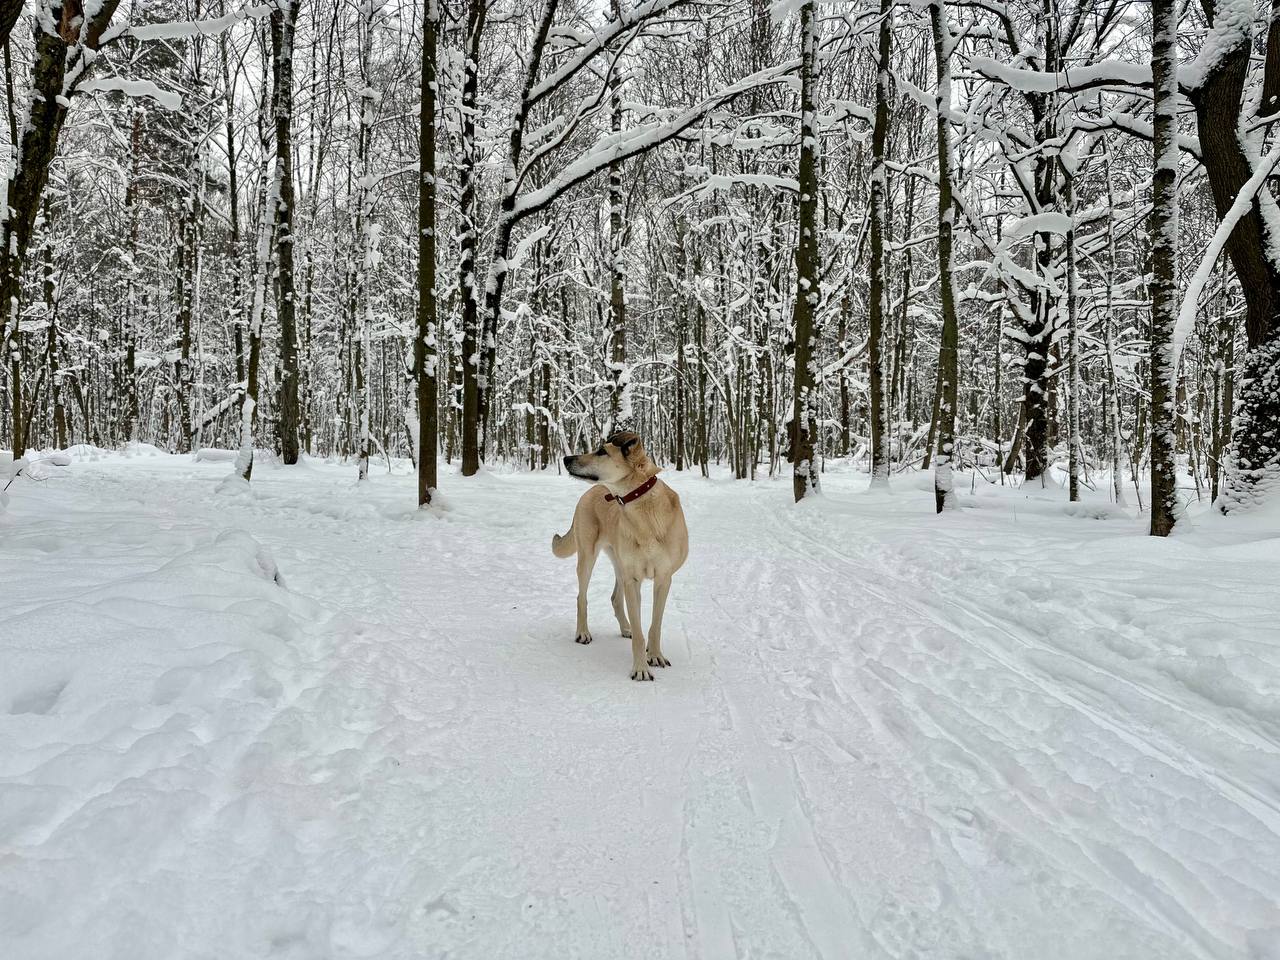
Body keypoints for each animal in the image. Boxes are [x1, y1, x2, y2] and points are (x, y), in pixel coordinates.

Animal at [552, 432, 691, 680]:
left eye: (602, 451)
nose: (567, 458)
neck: (643, 510)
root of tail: (590, 491)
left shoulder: (663, 579)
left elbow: (655, 625)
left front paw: (655, 655)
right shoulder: (633, 580)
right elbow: (640, 631)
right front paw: (641, 668)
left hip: (619, 563)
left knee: (615, 598)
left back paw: (625, 628)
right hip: (588, 557)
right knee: (581, 597)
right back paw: (583, 632)